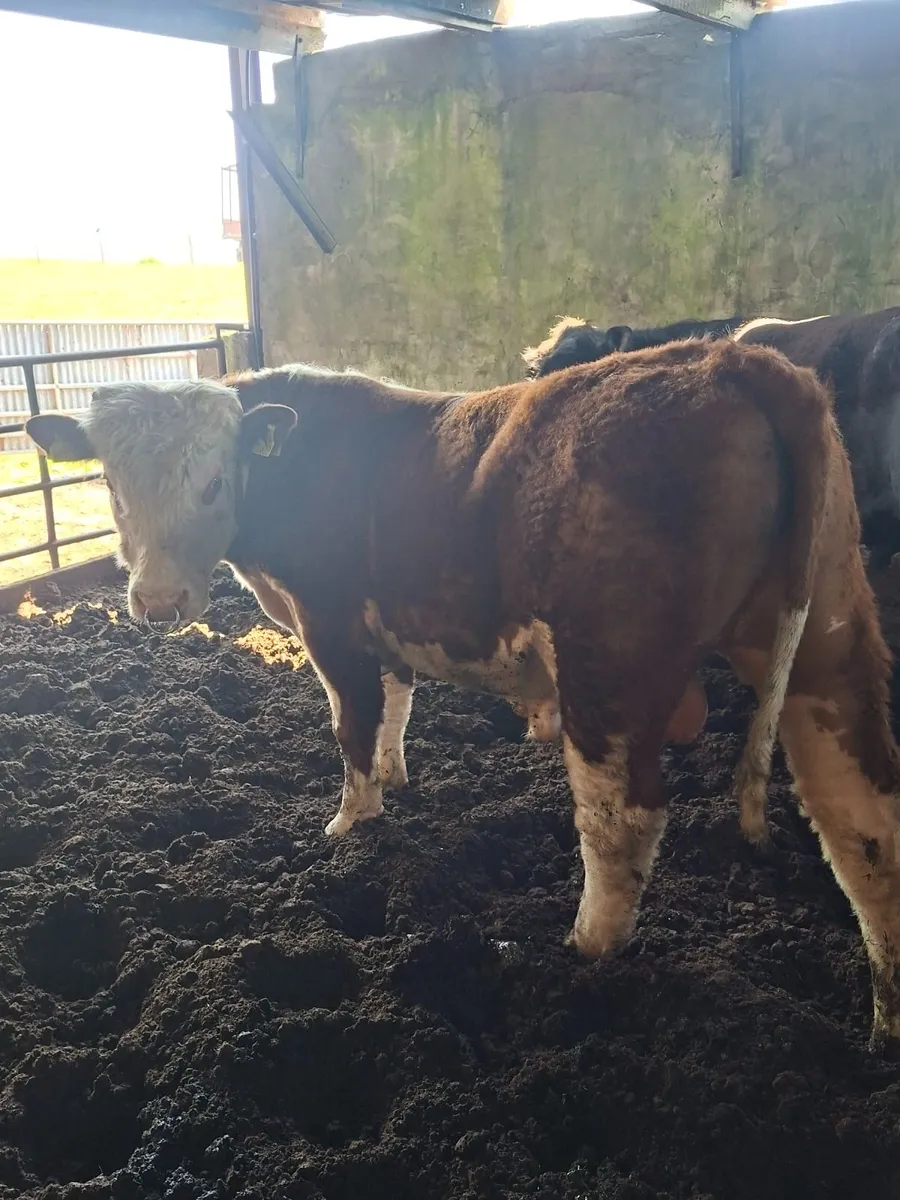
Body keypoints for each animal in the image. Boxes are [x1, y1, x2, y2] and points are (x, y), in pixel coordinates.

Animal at [26, 340, 900, 1050]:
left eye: (213, 483)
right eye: (109, 482)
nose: (159, 602)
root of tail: (731, 359)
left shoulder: (329, 621)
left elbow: (351, 724)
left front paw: (352, 823)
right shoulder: (388, 622)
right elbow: (396, 703)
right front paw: (397, 778)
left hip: (612, 666)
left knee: (622, 819)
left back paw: (583, 952)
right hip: (828, 645)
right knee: (863, 821)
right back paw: (884, 1024)